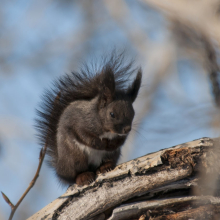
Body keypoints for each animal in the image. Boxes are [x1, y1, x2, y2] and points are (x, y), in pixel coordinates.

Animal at [35, 54, 143, 186]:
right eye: (112, 114)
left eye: (133, 113)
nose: (127, 129)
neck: (107, 131)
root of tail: (61, 169)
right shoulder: (79, 122)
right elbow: (85, 136)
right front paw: (101, 144)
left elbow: (121, 140)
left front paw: (112, 144)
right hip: (74, 156)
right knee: (76, 174)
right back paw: (84, 176)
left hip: (112, 155)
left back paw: (105, 167)